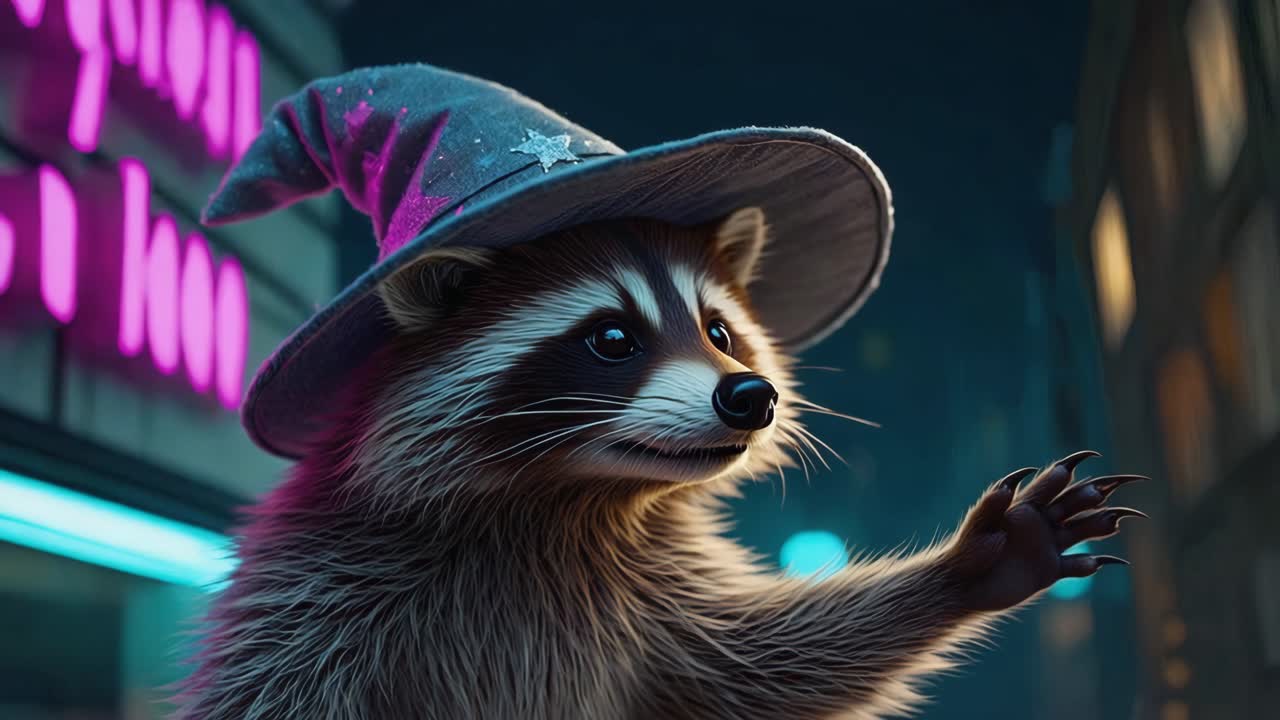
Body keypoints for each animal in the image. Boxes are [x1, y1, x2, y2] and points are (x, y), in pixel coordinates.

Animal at [177, 208, 1145, 719]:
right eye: (612, 338)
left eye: (719, 330)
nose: (752, 396)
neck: (564, 498)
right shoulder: (318, 597)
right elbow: (277, 693)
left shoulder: (649, 592)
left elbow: (763, 668)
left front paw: (962, 570)